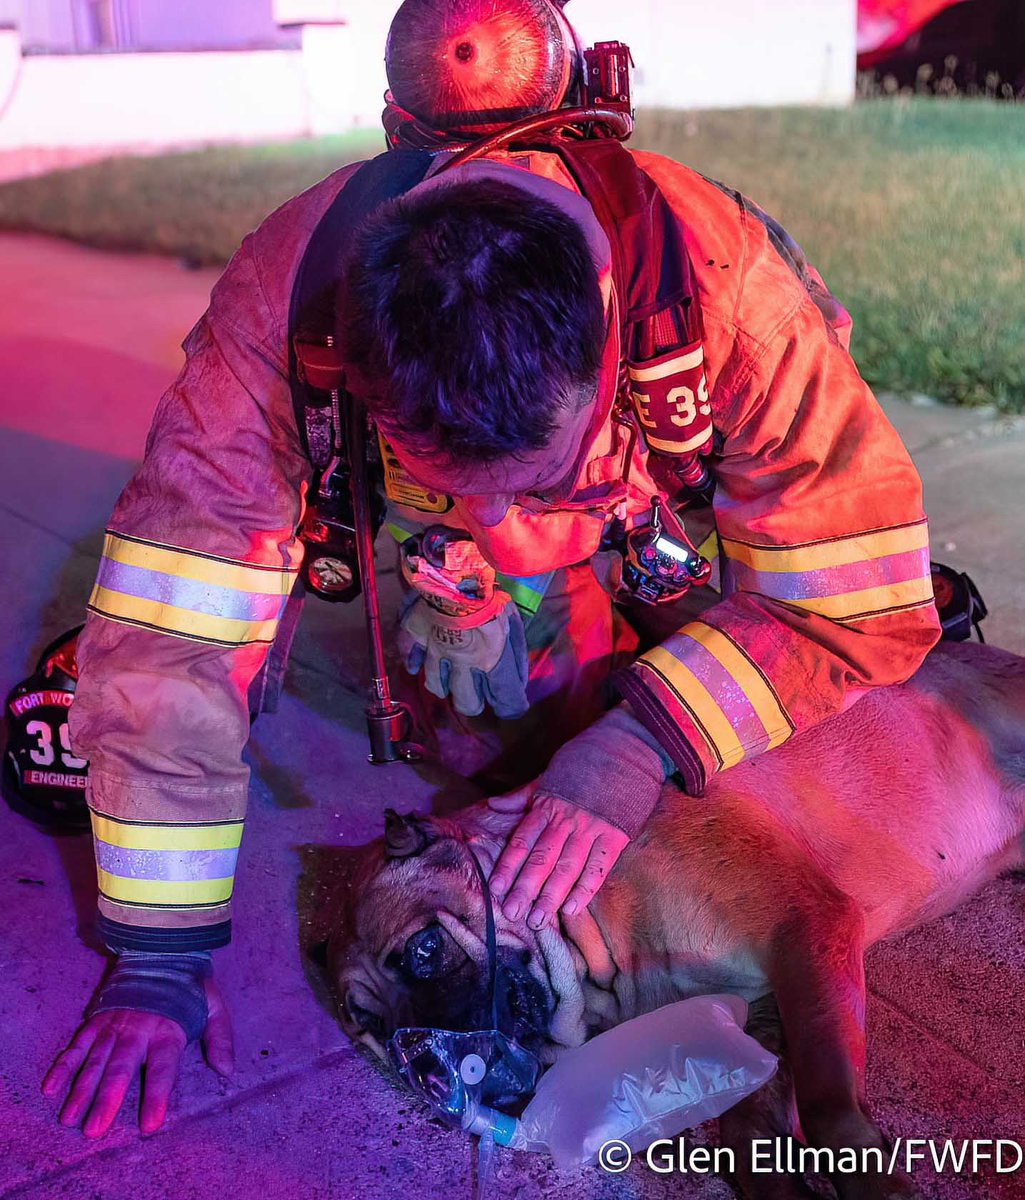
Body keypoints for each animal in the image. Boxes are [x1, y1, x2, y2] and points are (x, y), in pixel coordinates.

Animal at [331, 648, 1025, 1200]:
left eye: (424, 949)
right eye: (375, 1031)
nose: (425, 1069)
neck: (603, 932)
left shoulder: (808, 935)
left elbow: (831, 1108)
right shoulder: (767, 1008)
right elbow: (746, 1135)